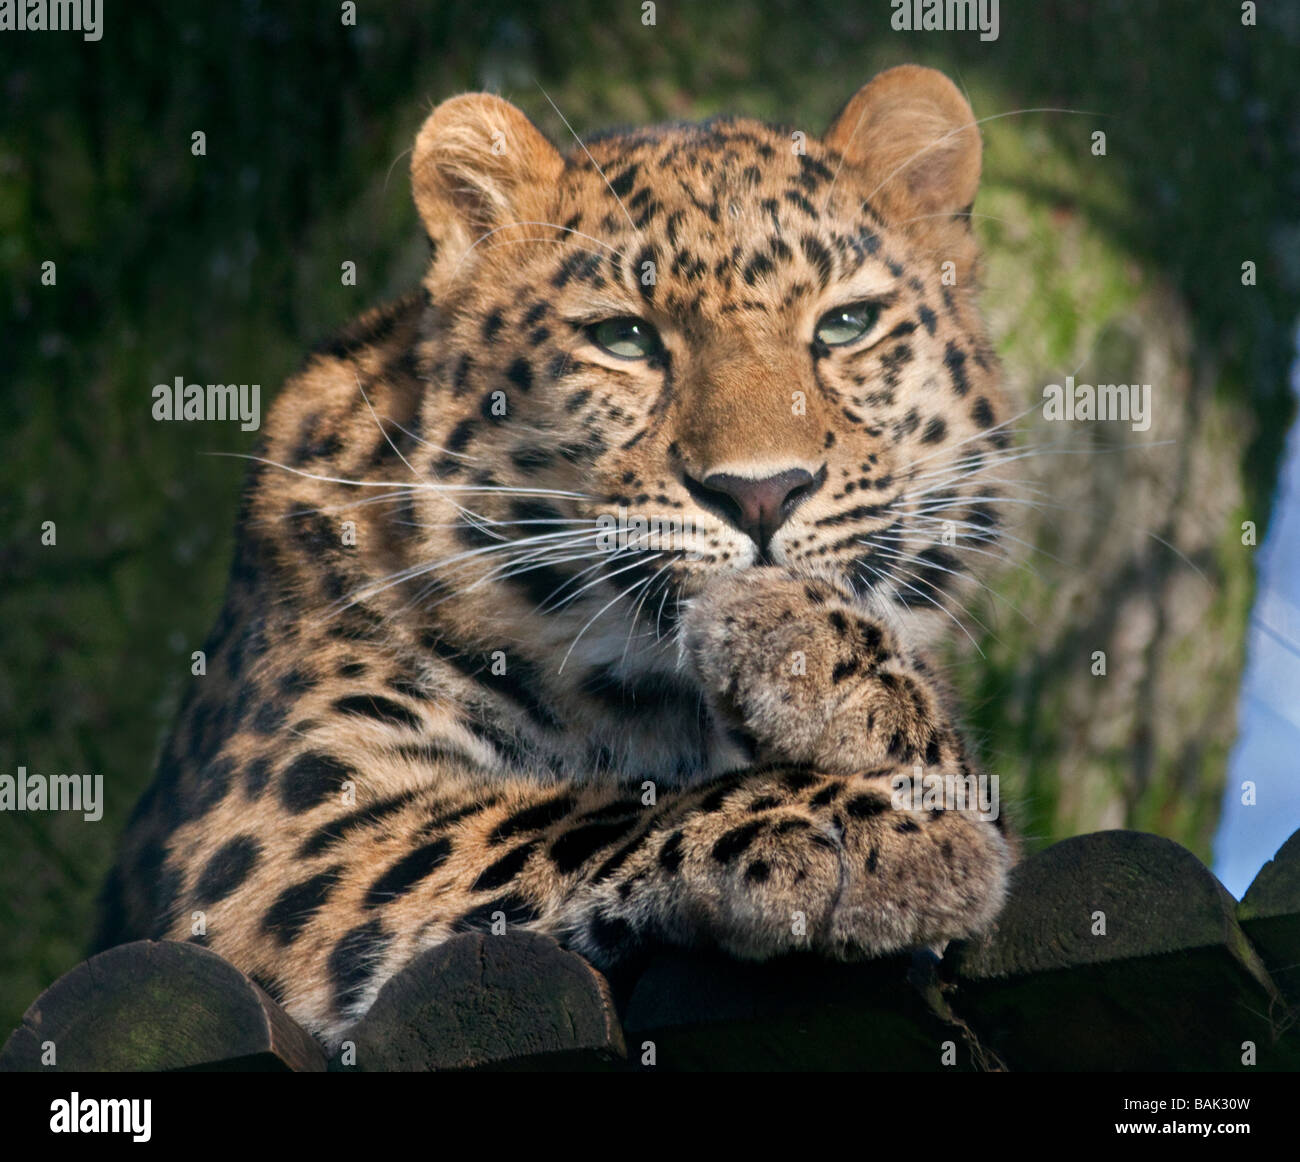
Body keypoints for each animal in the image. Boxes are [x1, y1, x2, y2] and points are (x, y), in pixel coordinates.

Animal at [96, 63, 1019, 1050]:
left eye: (847, 325)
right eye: (625, 338)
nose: (763, 493)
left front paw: (819, 660)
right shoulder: (285, 827)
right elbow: (572, 809)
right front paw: (874, 824)